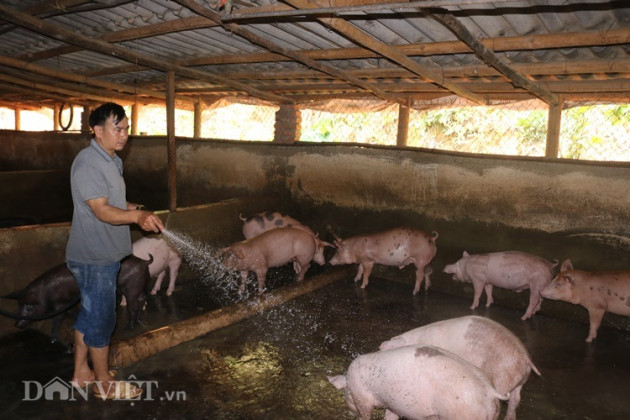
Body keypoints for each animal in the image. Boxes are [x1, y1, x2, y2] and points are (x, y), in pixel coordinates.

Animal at [328, 344, 512, 420]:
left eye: (346, 394)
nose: (350, 413)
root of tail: (490, 390)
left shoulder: (363, 399)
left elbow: (366, 414)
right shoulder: (394, 404)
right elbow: (390, 416)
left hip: (463, 414)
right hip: (491, 414)